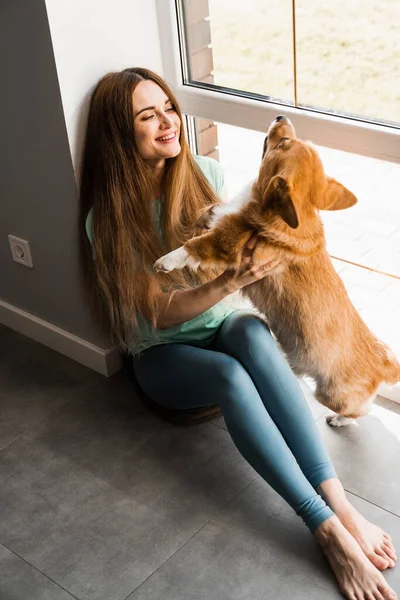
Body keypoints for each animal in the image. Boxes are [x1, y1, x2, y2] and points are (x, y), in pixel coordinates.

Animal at [154, 117, 400, 426]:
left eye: (283, 143)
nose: (281, 118)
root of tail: (384, 362)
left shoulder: (225, 244)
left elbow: (193, 247)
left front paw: (166, 260)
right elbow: (215, 213)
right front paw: (206, 213)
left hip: (330, 395)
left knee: (359, 411)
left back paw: (340, 420)